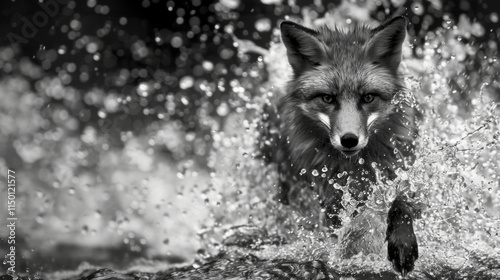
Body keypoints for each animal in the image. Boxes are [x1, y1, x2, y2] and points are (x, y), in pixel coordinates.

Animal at [260, 16, 420, 276]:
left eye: (368, 97)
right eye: (327, 98)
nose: (349, 139)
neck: (357, 168)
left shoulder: (402, 171)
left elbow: (399, 203)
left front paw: (402, 243)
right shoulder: (330, 201)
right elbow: (354, 227)